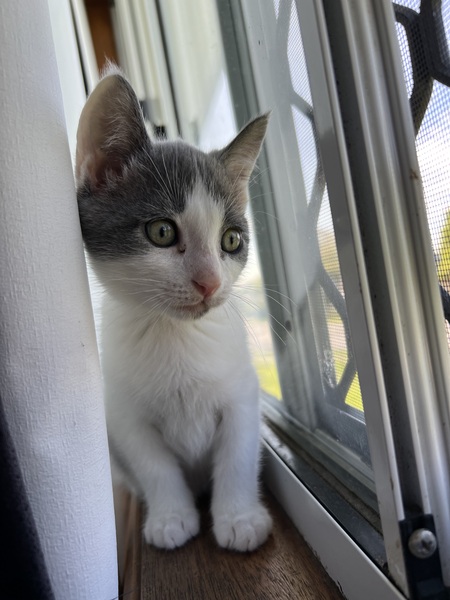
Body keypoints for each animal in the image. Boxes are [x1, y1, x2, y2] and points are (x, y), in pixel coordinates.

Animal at [75, 67, 272, 552]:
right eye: (162, 231)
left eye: (231, 240)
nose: (210, 282)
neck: (175, 333)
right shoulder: (123, 415)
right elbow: (154, 465)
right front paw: (171, 517)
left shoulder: (243, 393)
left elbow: (238, 455)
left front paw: (239, 517)